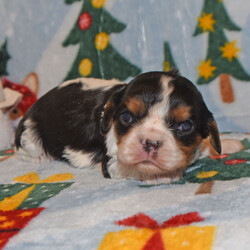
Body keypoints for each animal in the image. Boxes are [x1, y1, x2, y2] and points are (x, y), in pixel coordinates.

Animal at [15, 71, 221, 185]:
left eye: (185, 126)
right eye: (126, 116)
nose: (150, 142)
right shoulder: (111, 162)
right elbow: (134, 166)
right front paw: (161, 175)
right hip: (30, 137)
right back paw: (41, 157)